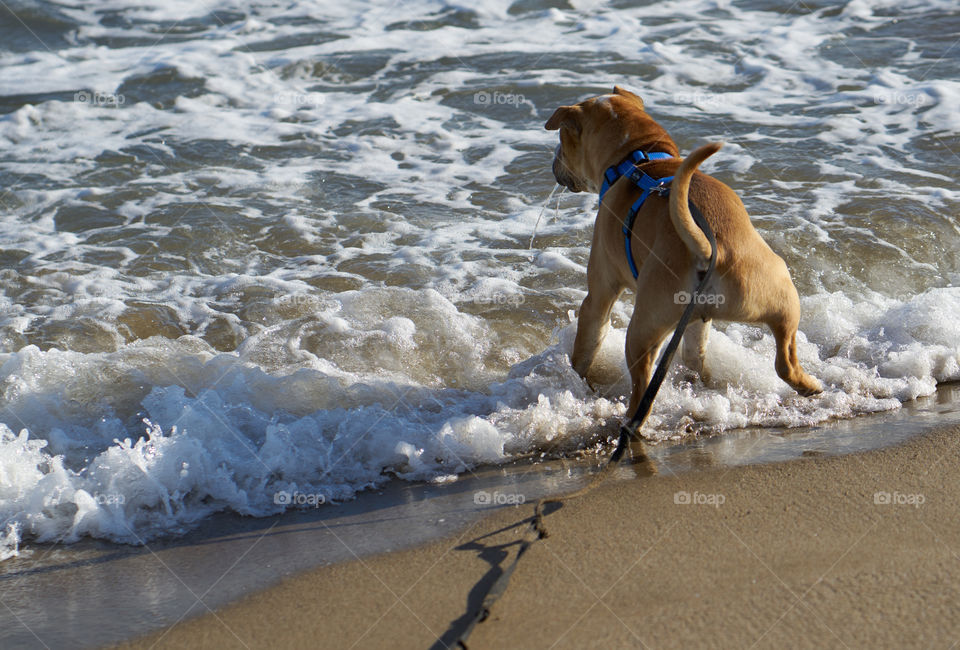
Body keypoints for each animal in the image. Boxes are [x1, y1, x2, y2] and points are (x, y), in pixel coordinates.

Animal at [544, 86, 820, 412]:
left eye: (563, 139)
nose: (553, 162)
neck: (639, 161)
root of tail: (708, 248)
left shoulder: (599, 294)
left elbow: (586, 345)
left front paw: (576, 379)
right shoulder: (697, 321)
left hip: (643, 327)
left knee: (642, 389)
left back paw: (630, 419)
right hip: (781, 298)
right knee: (783, 361)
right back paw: (809, 386)